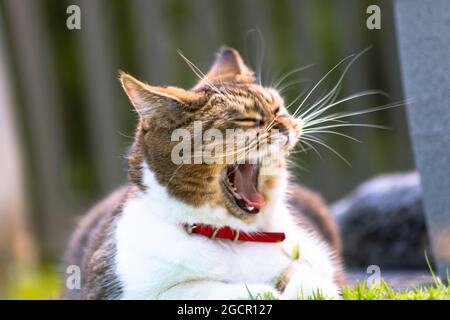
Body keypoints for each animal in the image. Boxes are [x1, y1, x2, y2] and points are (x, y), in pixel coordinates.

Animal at [62, 47, 344, 300]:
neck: (234, 238)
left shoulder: (315, 256)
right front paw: (263, 290)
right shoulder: (120, 289)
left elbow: (307, 274)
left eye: (278, 110)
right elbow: (210, 289)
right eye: (246, 120)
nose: (286, 124)